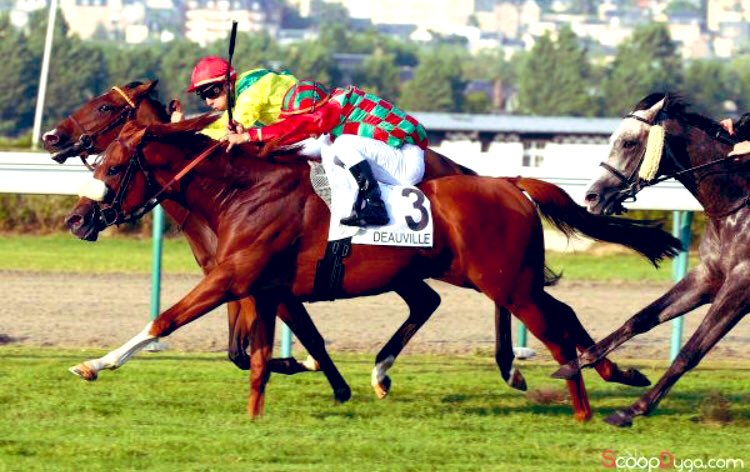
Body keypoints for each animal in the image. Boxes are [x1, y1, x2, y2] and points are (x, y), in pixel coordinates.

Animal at [42, 80, 531, 396]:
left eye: (105, 108)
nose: (50, 137)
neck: (234, 191)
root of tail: (466, 170)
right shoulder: (248, 282)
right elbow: (248, 349)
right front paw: (316, 370)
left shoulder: (244, 279)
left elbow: (176, 324)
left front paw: (96, 364)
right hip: (406, 271)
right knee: (430, 301)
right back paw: (385, 373)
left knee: (501, 293)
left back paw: (510, 366)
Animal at [65, 114, 680, 420]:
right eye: (98, 160)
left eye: (113, 167)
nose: (75, 220)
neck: (241, 191)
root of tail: (509, 181)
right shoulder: (261, 287)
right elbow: (257, 356)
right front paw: (264, 408)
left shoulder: (231, 278)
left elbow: (165, 321)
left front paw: (94, 364)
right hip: (496, 277)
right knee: (556, 311)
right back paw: (613, 372)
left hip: (505, 282)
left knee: (550, 329)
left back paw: (579, 406)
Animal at [552, 92, 748, 427]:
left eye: (629, 142)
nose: (591, 196)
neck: (736, 208)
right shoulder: (707, 276)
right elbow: (641, 318)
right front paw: (575, 364)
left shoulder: (739, 287)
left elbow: (689, 352)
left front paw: (632, 409)